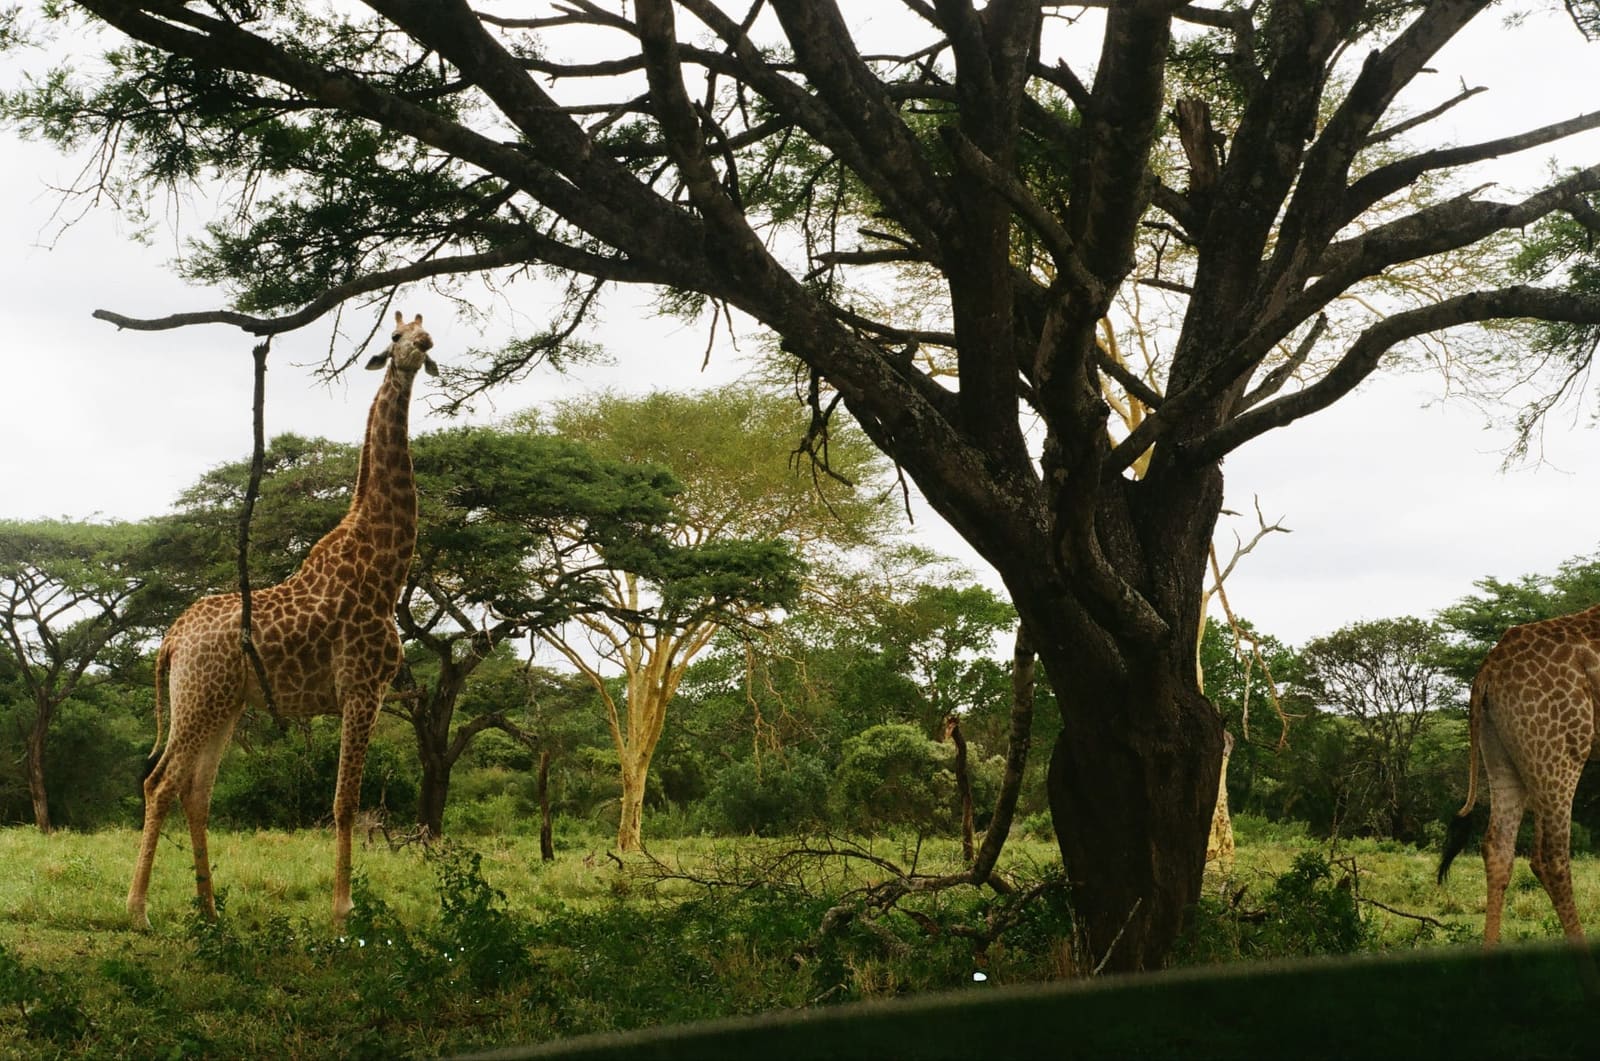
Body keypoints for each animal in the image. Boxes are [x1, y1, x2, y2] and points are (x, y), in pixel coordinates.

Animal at [127, 312, 437, 930]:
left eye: (427, 330)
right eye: (394, 337)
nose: (421, 346)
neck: (386, 567)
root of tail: (170, 639)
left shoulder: (364, 692)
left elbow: (344, 802)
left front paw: (340, 906)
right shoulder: (362, 688)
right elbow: (345, 803)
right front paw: (342, 912)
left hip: (222, 704)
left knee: (195, 790)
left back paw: (210, 911)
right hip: (199, 700)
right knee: (161, 783)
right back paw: (140, 911)